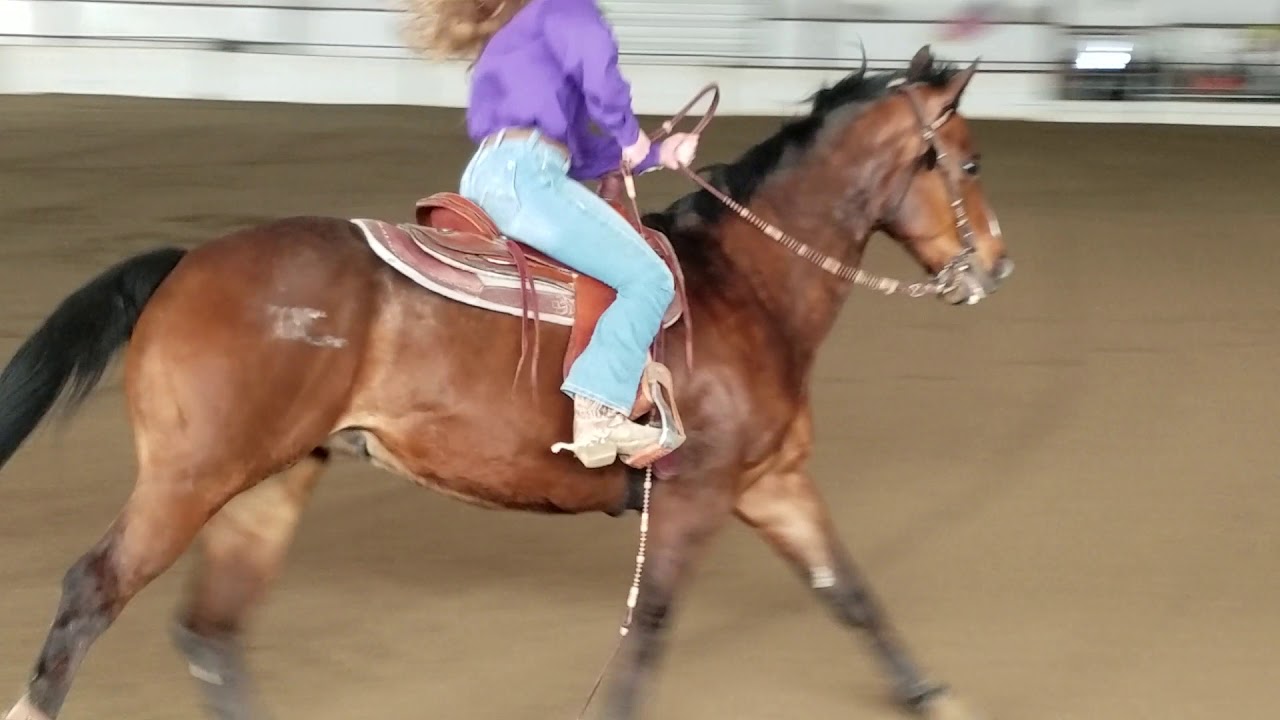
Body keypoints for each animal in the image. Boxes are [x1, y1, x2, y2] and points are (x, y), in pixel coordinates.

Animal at [0, 45, 1011, 720]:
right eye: (967, 160)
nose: (995, 268)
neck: (746, 287)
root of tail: (184, 264)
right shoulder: (694, 498)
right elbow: (649, 631)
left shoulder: (773, 485)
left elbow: (851, 595)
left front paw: (932, 695)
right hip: (192, 476)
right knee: (93, 592)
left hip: (269, 484)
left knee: (210, 632)